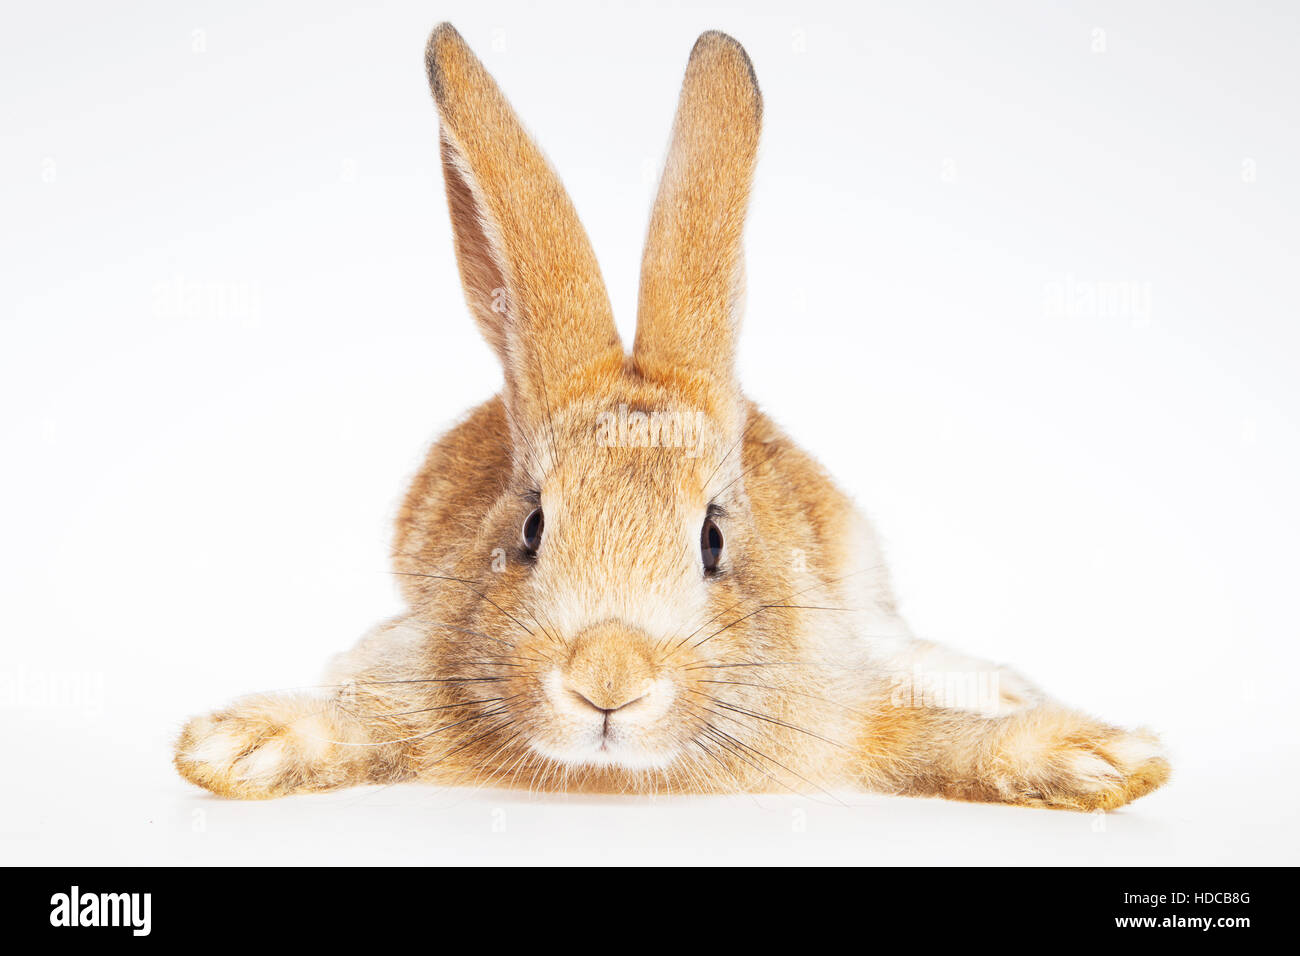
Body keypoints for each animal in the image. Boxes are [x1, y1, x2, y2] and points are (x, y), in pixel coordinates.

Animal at [174, 23, 1170, 810]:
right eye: (531, 529)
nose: (607, 680)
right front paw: (235, 745)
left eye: (713, 540)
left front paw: (1104, 760)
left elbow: (936, 740)